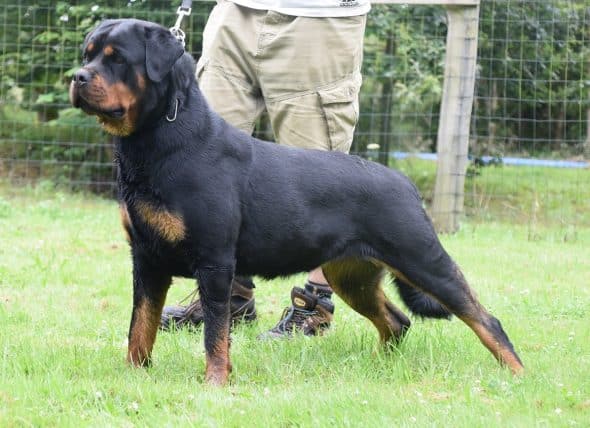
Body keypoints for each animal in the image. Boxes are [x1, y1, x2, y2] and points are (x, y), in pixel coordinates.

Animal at [71, 18, 524, 384]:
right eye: (88, 54)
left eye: (117, 59)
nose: (77, 77)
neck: (161, 142)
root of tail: (405, 183)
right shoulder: (146, 257)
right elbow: (140, 325)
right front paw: (134, 373)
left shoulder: (214, 260)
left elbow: (215, 332)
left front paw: (215, 381)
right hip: (352, 274)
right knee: (397, 320)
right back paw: (379, 366)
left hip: (421, 258)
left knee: (485, 318)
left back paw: (518, 373)